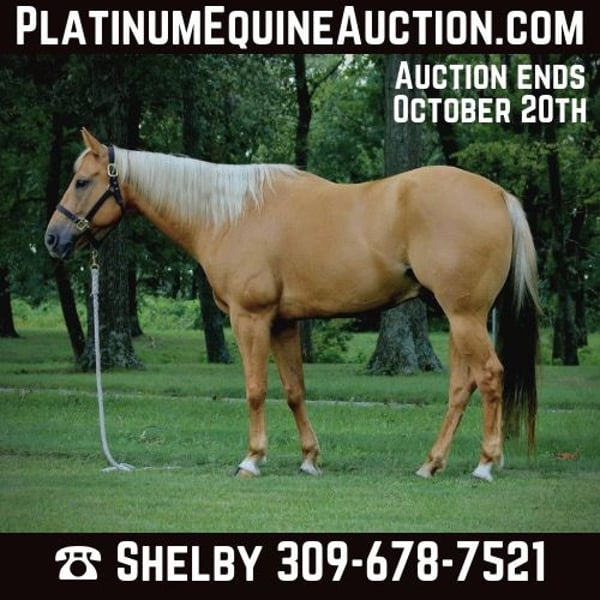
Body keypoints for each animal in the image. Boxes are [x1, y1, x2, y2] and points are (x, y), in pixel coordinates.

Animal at [45, 128, 540, 482]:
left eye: (82, 181)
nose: (53, 238)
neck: (229, 215)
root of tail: (498, 195)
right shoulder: (283, 323)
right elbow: (294, 391)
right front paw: (309, 459)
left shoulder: (250, 319)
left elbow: (255, 389)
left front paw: (251, 459)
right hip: (460, 319)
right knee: (462, 387)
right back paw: (431, 464)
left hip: (465, 317)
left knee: (490, 376)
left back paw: (484, 464)